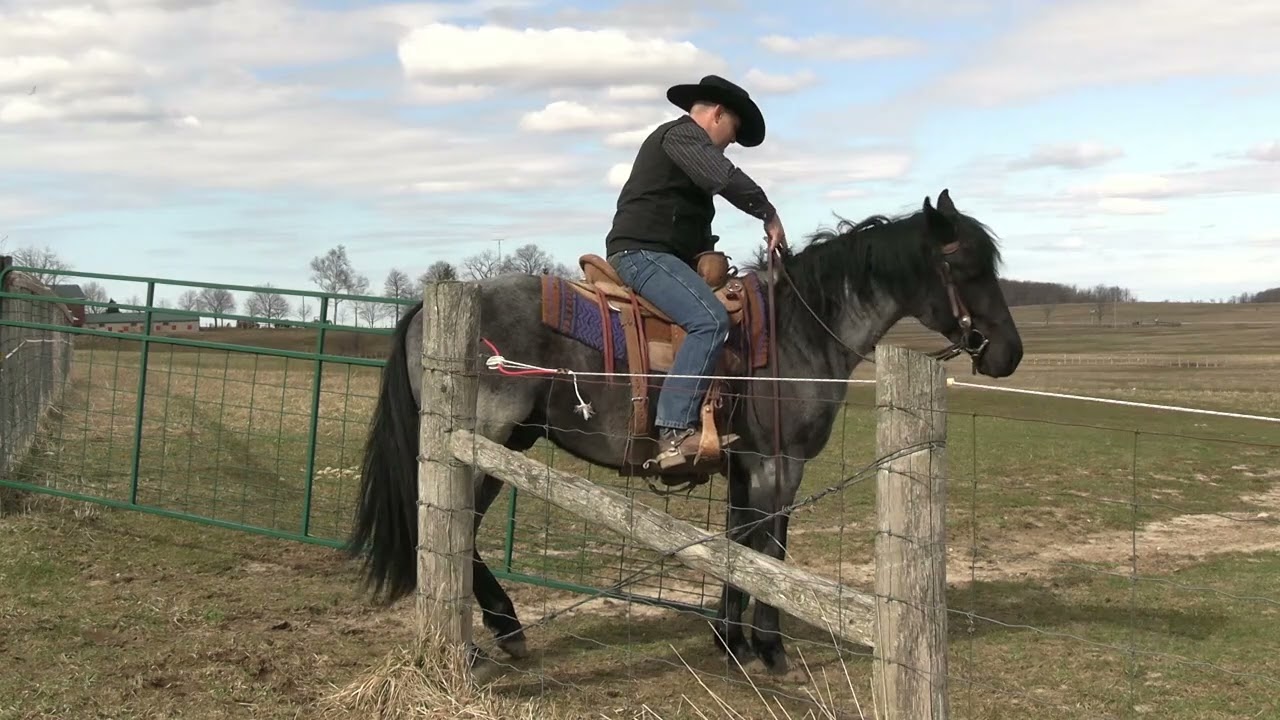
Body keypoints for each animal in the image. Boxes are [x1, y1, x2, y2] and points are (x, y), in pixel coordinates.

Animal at [345, 188, 1023, 676]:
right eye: (965, 265)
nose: (1008, 354)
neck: (798, 332)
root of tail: (431, 306)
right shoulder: (781, 463)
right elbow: (769, 547)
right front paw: (769, 649)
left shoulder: (746, 466)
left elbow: (739, 544)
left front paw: (730, 641)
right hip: (483, 446)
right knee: (452, 526)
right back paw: (496, 634)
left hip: (507, 446)